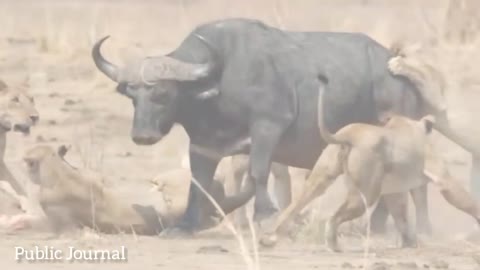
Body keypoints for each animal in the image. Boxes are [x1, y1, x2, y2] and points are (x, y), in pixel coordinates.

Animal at [91, 18, 424, 232]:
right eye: (132, 95)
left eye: (163, 93)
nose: (142, 135)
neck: (218, 82)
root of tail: (399, 72)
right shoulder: (203, 146)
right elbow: (199, 184)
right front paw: (185, 224)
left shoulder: (267, 127)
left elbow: (258, 170)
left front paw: (265, 215)